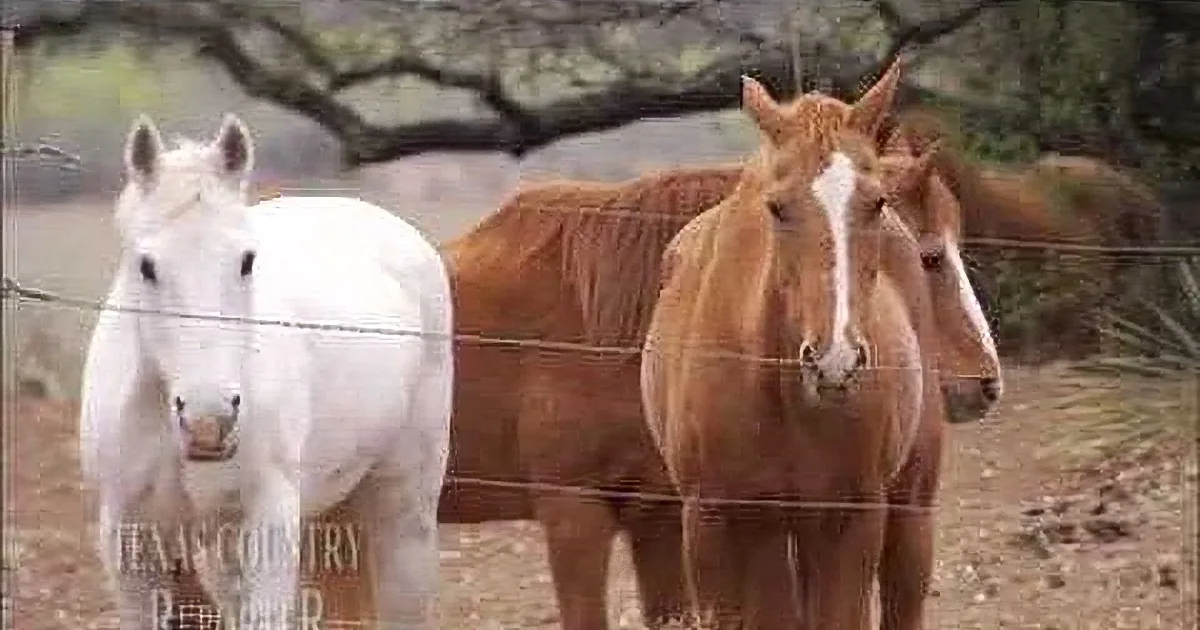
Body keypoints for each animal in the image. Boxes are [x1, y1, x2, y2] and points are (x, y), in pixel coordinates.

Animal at [77, 114, 454, 630]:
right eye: (146, 265)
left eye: (247, 261)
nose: (209, 419)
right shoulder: (129, 534)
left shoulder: (269, 521)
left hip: (403, 507)